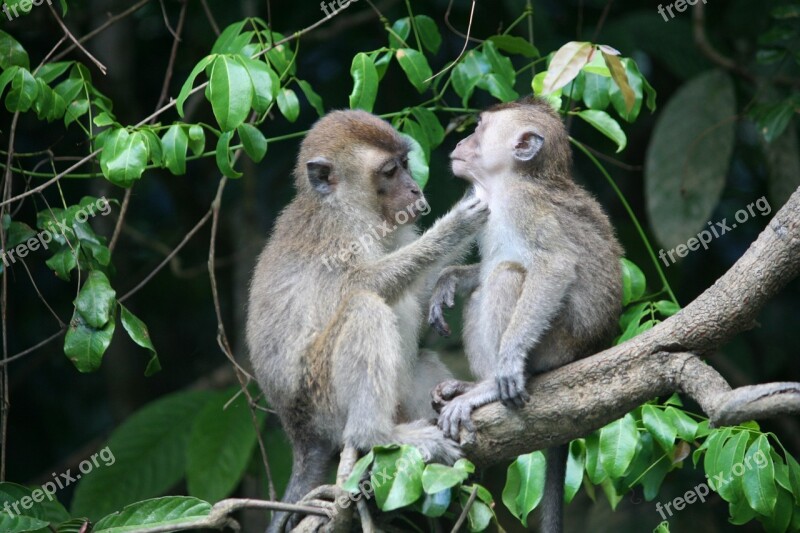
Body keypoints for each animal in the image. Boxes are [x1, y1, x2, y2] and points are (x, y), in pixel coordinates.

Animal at [248, 110, 488, 528]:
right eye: (390, 171)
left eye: (406, 163)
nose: (415, 190)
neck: (343, 204)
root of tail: (300, 435)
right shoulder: (337, 236)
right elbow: (363, 285)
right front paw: (457, 224)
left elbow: (416, 292)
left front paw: (453, 279)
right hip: (321, 399)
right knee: (365, 308)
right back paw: (374, 435)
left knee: (417, 358)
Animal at [428, 96, 620, 532]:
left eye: (479, 129)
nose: (462, 141)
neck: (507, 184)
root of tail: (591, 349)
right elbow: (481, 272)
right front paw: (448, 279)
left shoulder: (523, 205)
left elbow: (555, 265)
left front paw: (510, 362)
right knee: (487, 285)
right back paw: (473, 385)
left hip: (558, 345)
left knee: (507, 276)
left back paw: (489, 386)